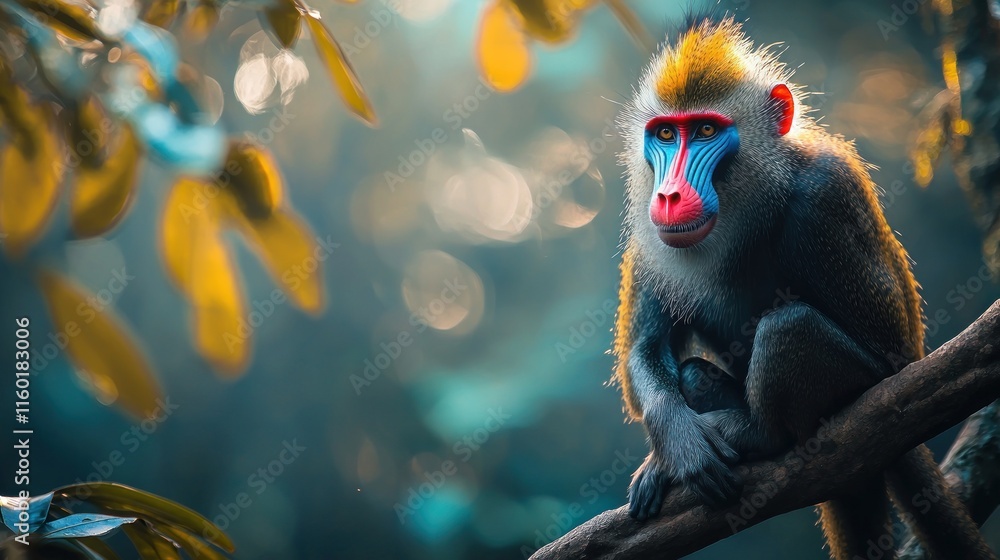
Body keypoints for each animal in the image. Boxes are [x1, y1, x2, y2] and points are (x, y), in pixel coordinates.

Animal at [611, 15, 995, 560]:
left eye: (705, 130)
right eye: (665, 133)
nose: (668, 195)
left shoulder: (824, 195)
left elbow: (890, 356)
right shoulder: (647, 244)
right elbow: (643, 351)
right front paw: (680, 445)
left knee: (791, 328)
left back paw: (761, 435)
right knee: (692, 374)